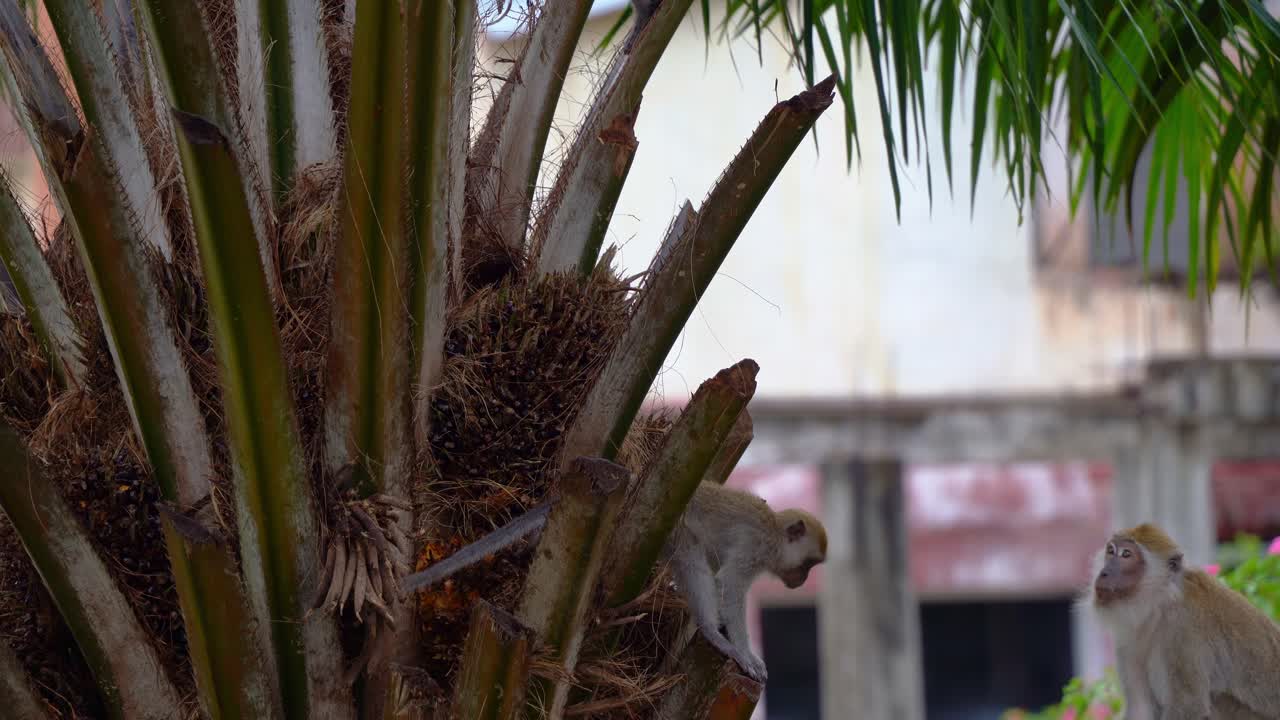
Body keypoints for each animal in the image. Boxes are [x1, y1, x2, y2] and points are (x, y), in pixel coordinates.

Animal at [399, 481, 827, 683]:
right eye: (809, 564)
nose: (801, 581)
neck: (775, 534)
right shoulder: (754, 548)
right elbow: (732, 588)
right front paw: (744, 652)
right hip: (673, 523)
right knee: (692, 559)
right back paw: (711, 632)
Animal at [1087, 523, 1280, 720]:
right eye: (1111, 551)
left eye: (1126, 554)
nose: (1104, 573)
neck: (1158, 607)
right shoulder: (1129, 636)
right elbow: (1141, 708)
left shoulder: (1182, 628)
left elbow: (1188, 706)